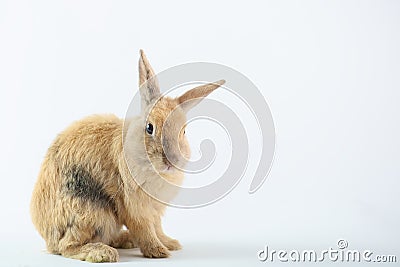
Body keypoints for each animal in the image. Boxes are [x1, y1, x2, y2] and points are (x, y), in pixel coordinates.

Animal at [30, 50, 225, 264]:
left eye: (184, 131)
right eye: (150, 128)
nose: (171, 161)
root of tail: (47, 237)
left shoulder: (155, 211)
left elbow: (157, 227)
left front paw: (170, 243)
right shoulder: (134, 207)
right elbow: (145, 229)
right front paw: (158, 251)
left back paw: (125, 240)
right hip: (90, 213)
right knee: (67, 247)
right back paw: (102, 252)